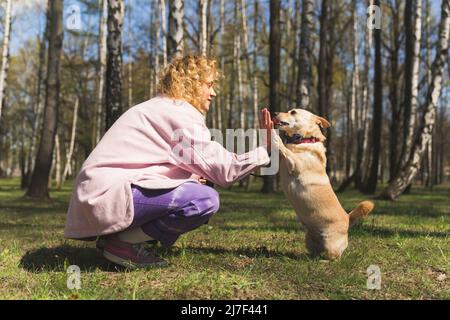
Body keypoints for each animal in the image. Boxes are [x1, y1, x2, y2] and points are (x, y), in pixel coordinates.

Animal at [270, 107, 372, 260]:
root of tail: (348, 219)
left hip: (330, 244)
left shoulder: (295, 164)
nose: (274, 113)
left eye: (293, 112)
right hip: (308, 239)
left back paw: (324, 261)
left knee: (334, 257)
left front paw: (275, 136)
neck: (303, 140)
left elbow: (285, 149)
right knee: (316, 253)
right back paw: (308, 257)